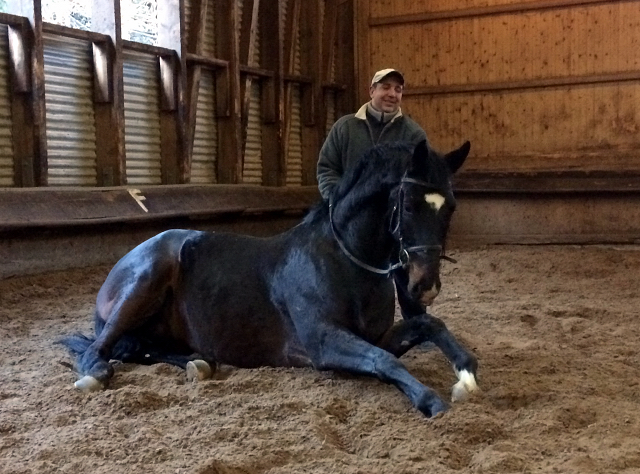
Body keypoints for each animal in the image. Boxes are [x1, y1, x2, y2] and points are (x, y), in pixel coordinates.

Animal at [61, 141, 480, 418]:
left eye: (451, 207)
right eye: (408, 205)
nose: (425, 285)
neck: (344, 261)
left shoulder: (377, 336)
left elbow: (428, 325)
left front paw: (466, 375)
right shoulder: (323, 343)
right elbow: (385, 361)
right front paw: (431, 400)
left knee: (142, 349)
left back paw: (200, 364)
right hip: (144, 283)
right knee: (99, 348)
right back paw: (96, 375)